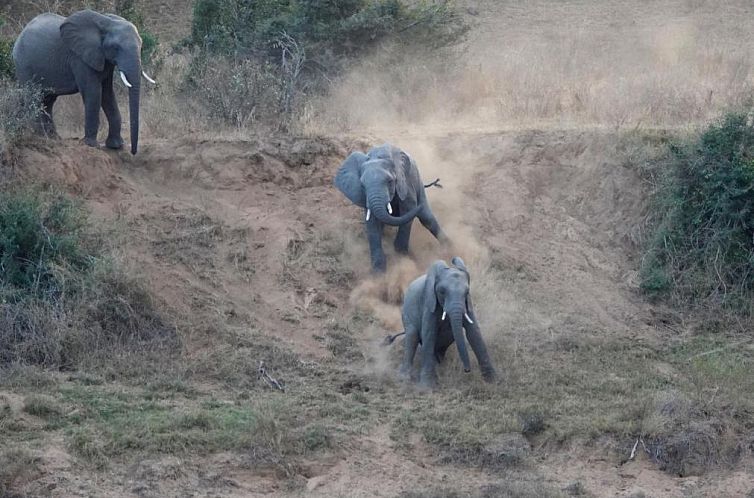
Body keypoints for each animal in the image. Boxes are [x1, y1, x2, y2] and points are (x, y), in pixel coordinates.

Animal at [12, 9, 155, 154]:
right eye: (115, 47)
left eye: (141, 46)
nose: (133, 152)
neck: (108, 22)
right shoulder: (80, 58)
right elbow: (93, 92)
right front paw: (92, 145)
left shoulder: (103, 59)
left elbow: (107, 94)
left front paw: (115, 146)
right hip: (24, 65)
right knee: (34, 97)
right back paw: (42, 138)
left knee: (48, 100)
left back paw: (53, 138)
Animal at [334, 142, 446, 274]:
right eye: (362, 185)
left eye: (390, 181)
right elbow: (372, 223)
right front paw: (378, 272)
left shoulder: (406, 182)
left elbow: (409, 208)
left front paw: (401, 255)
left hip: (417, 180)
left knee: (427, 218)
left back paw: (450, 248)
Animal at [384, 256, 496, 390]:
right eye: (442, 292)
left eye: (466, 292)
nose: (467, 370)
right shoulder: (429, 302)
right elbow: (429, 334)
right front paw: (426, 387)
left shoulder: (468, 304)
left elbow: (474, 333)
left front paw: (494, 380)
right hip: (406, 312)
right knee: (412, 336)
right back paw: (404, 378)